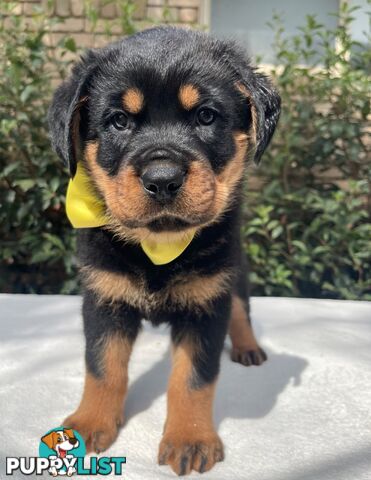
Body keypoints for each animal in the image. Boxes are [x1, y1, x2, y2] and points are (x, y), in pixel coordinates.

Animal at [48, 26, 280, 476]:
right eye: (119, 121)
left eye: (205, 116)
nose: (162, 179)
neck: (159, 246)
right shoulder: (104, 298)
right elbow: (102, 367)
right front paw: (88, 425)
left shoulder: (206, 303)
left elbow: (193, 378)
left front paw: (190, 439)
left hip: (235, 273)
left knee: (241, 310)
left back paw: (248, 348)